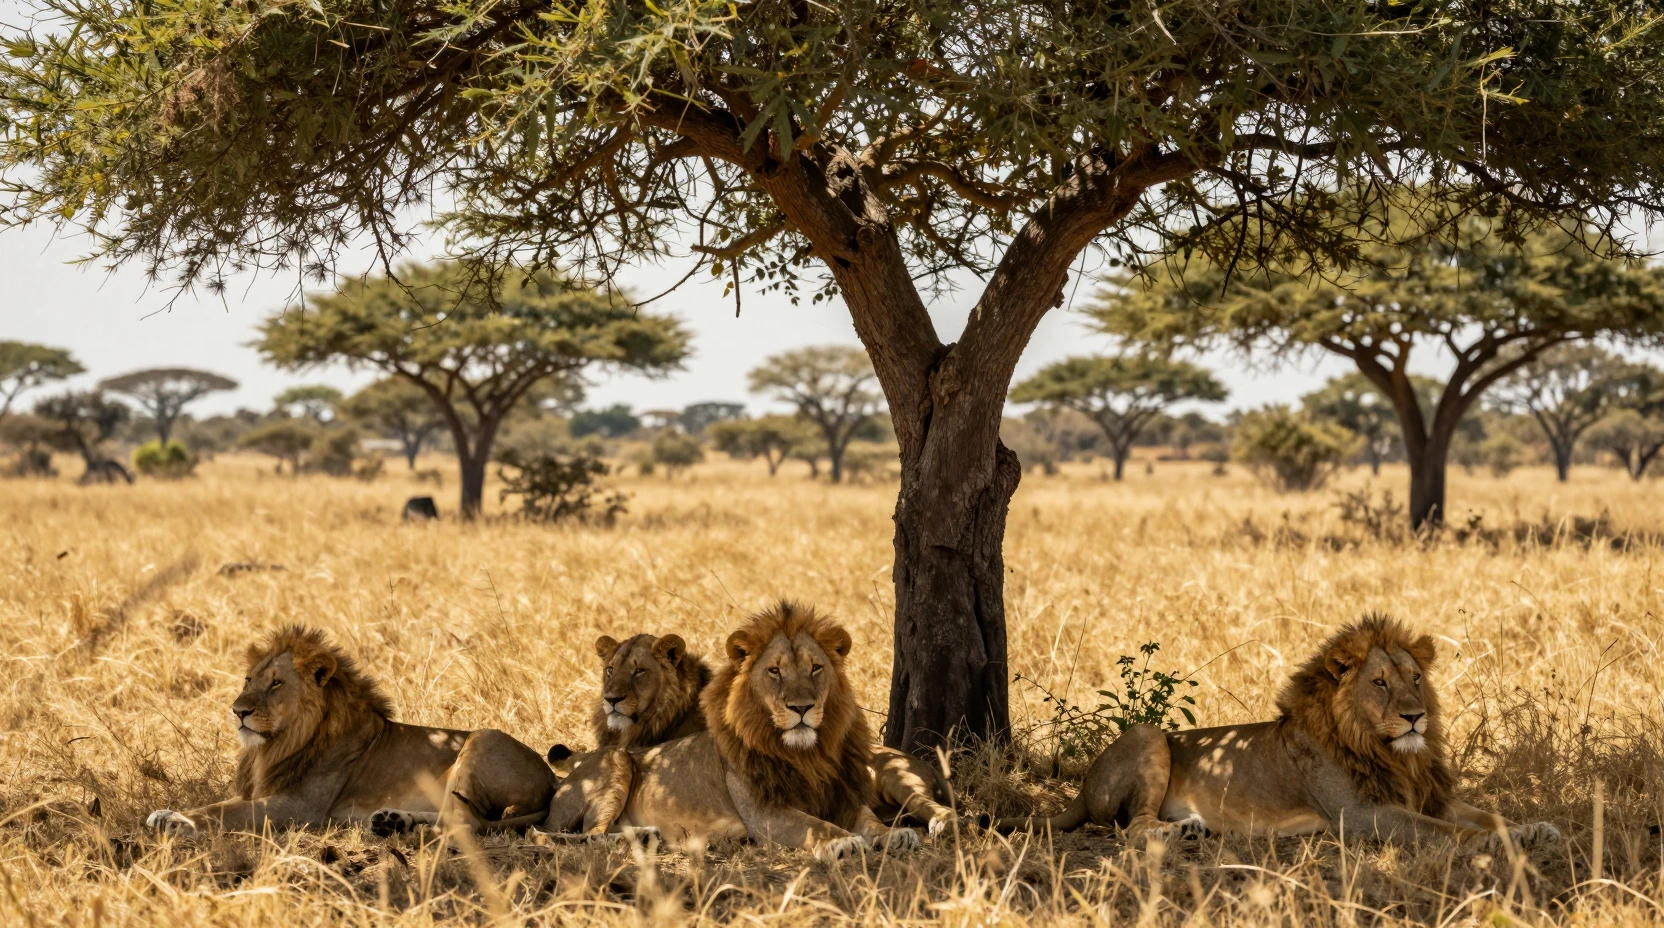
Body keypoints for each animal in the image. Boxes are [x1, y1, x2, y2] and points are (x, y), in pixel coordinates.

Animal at [145, 625, 556, 836]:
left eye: (276, 683)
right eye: (248, 679)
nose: (237, 710)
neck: (280, 743)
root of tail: (553, 779)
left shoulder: (298, 807)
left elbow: (223, 814)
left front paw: (178, 822)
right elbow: (217, 804)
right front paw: (164, 812)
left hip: (483, 738)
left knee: (467, 823)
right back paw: (391, 822)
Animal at [541, 601, 922, 861]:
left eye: (815, 668)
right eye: (774, 671)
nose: (802, 707)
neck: (805, 753)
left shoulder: (840, 794)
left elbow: (870, 820)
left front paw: (895, 834)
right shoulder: (766, 814)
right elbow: (816, 825)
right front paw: (843, 841)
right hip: (617, 762)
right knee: (578, 834)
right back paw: (638, 838)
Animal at [999, 615, 1561, 850]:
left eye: (1416, 678)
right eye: (1380, 683)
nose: (1415, 717)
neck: (1394, 753)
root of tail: (1080, 789)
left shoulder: (1431, 796)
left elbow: (1490, 814)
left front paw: (1534, 828)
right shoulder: (1364, 815)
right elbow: (1451, 832)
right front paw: (1496, 845)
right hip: (1149, 734)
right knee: (1132, 826)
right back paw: (1175, 832)